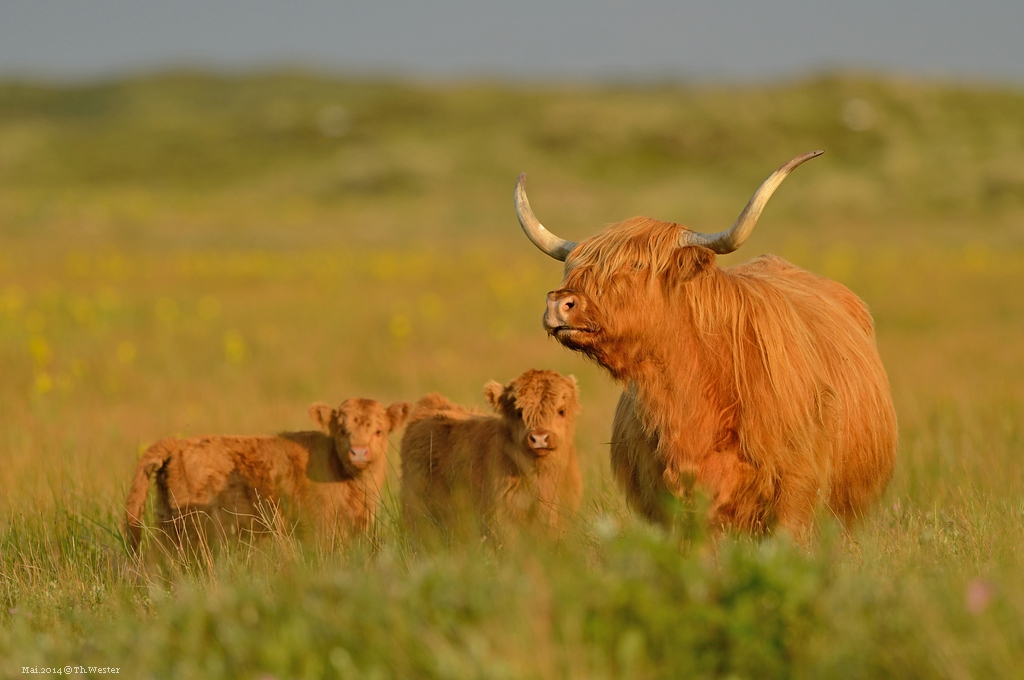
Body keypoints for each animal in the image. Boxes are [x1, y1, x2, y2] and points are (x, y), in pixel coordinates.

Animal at [121, 399, 405, 553]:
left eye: (379, 430)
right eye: (342, 430)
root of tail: (180, 444)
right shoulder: (321, 528)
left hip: (169, 523)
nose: (359, 452)